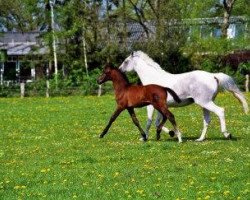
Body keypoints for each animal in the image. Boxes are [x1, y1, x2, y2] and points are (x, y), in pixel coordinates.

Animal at [119, 51, 248, 142]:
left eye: (126, 61)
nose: (120, 70)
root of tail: (213, 76)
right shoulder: (160, 107)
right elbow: (157, 122)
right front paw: (171, 133)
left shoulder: (151, 106)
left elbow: (149, 122)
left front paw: (144, 137)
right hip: (205, 104)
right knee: (207, 120)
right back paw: (200, 139)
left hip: (205, 102)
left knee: (220, 111)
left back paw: (227, 134)